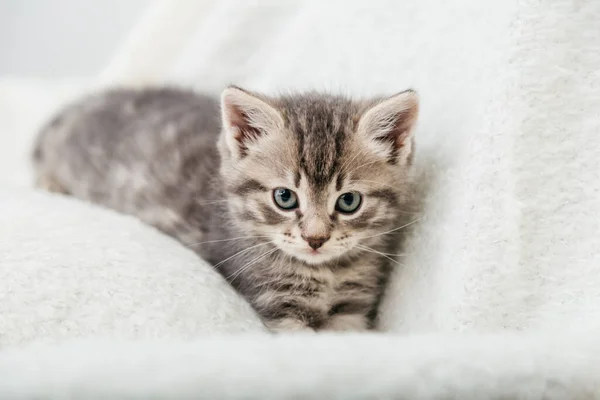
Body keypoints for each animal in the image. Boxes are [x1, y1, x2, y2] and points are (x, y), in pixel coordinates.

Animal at [31, 86, 418, 332]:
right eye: (285, 197)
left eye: (349, 202)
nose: (315, 239)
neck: (325, 274)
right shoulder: (273, 306)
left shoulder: (352, 308)